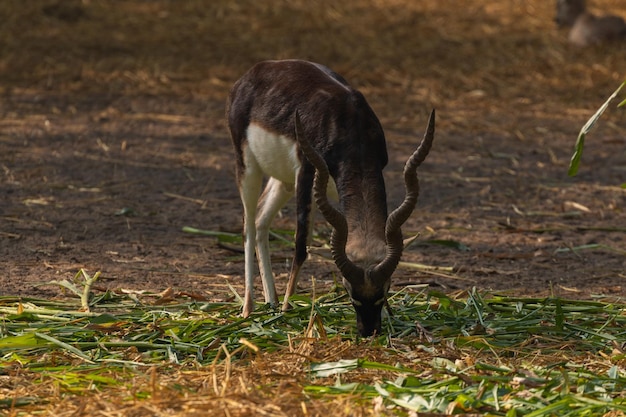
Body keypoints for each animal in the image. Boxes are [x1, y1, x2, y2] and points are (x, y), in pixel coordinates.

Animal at [224, 60, 434, 334]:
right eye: (347, 288)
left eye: (385, 287)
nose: (368, 331)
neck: (349, 122)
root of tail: (252, 73)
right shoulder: (307, 172)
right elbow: (302, 245)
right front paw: (288, 309)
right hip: (249, 168)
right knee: (248, 226)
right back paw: (249, 308)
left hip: (283, 181)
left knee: (261, 220)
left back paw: (271, 301)